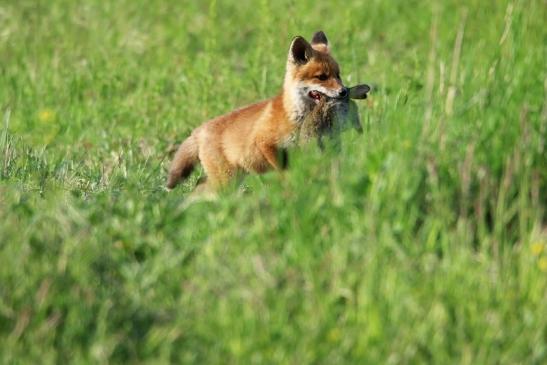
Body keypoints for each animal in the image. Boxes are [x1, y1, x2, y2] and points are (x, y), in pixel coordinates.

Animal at [166, 31, 346, 191]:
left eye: (338, 75)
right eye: (322, 77)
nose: (344, 91)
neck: (296, 117)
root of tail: (199, 130)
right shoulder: (265, 143)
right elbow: (285, 174)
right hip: (226, 180)